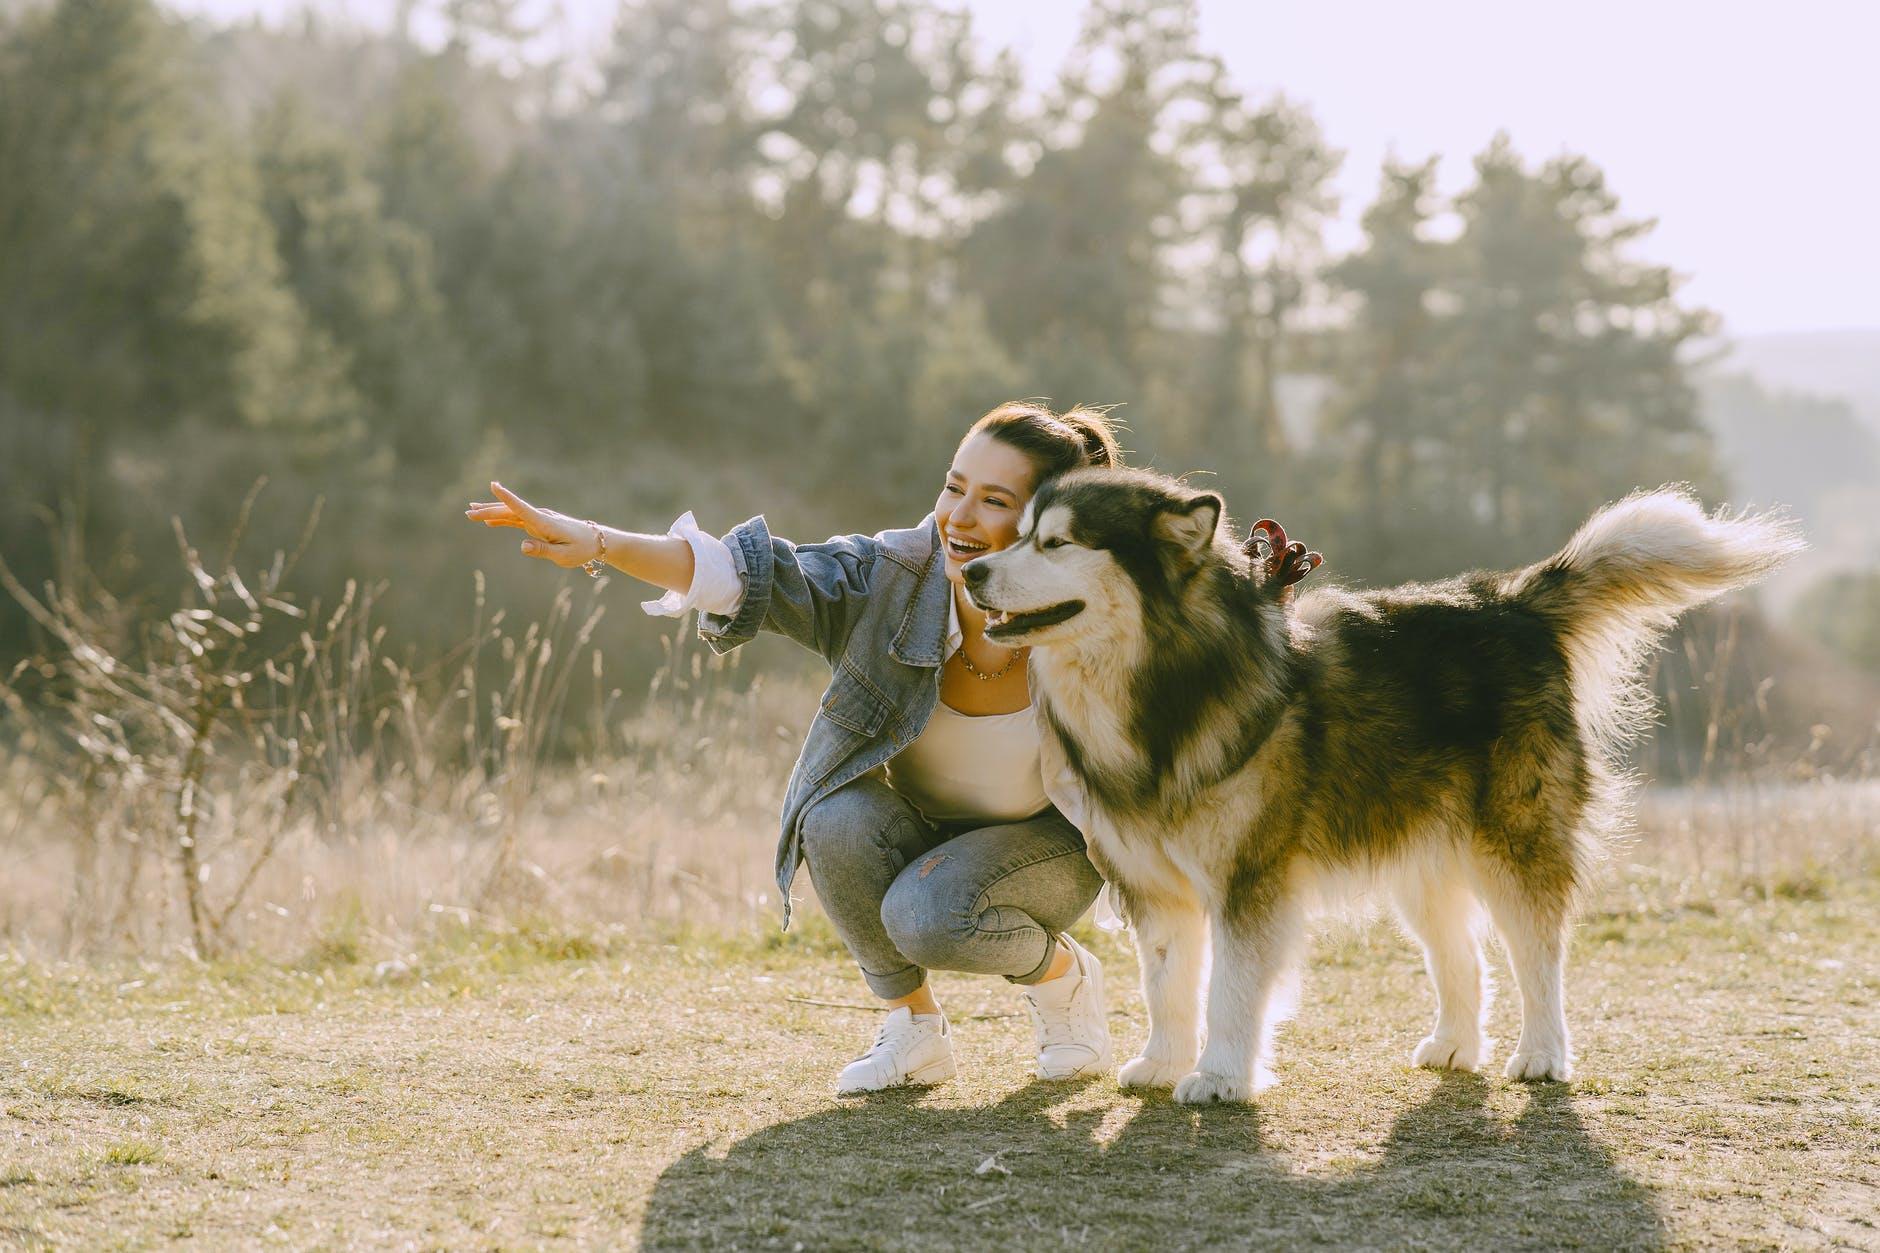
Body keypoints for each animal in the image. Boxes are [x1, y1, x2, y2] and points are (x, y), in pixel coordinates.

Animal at [962, 470, 1797, 1106]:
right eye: (1020, 530)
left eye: (1055, 542)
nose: (970, 570)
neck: (1166, 684)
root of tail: (1507, 599)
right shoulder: (1151, 885)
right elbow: (1167, 983)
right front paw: (1164, 1061)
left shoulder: (1250, 879)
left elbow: (1230, 986)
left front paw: (1221, 1074)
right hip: (1420, 857)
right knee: (1463, 956)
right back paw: (1455, 1043)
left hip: (1515, 840)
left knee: (1538, 954)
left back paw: (1542, 1052)